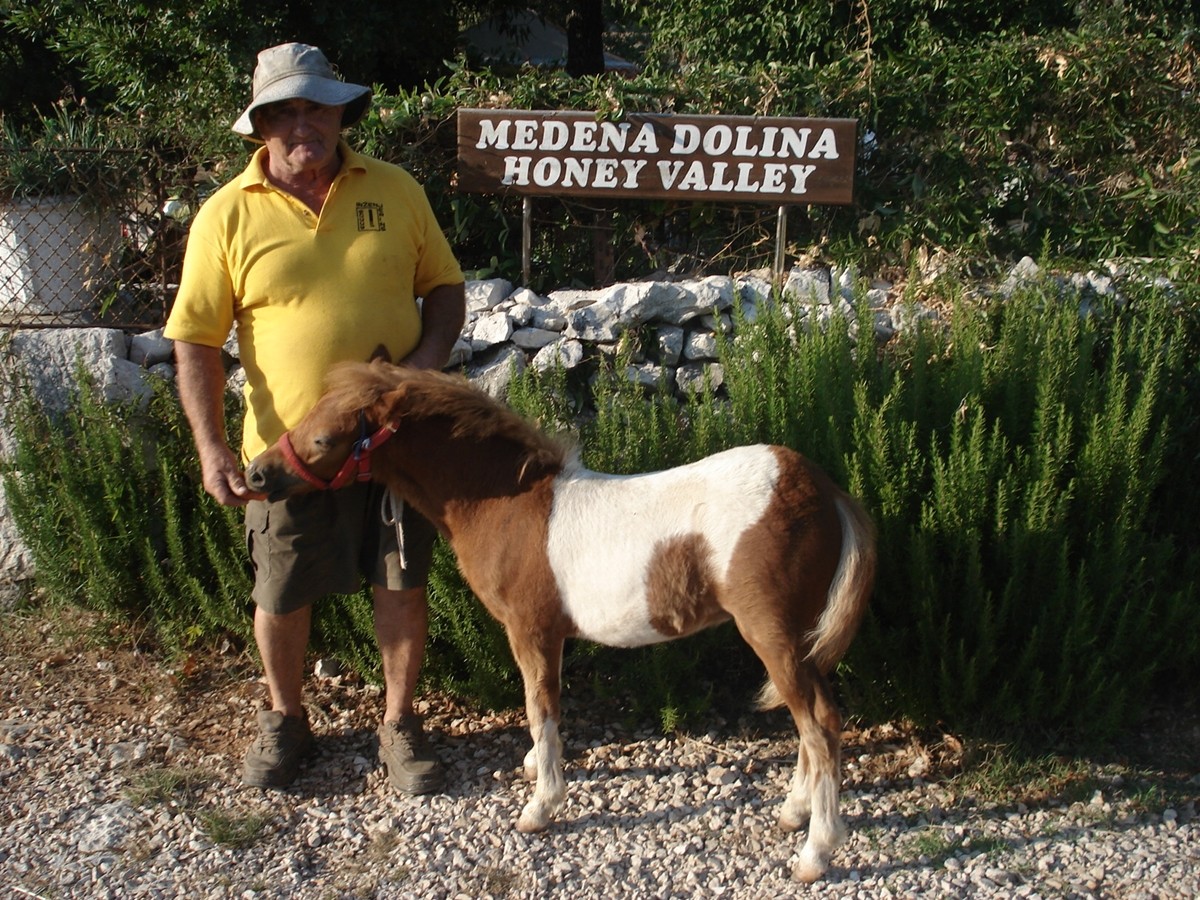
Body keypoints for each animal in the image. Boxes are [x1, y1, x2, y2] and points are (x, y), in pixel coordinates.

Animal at [248, 360, 878, 883]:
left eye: (324, 439)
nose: (256, 474)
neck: (505, 505)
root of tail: (825, 489)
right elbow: (541, 708)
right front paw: (532, 768)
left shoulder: (531, 629)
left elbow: (539, 706)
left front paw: (540, 807)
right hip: (799, 640)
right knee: (813, 719)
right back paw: (794, 812)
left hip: (771, 633)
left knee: (820, 722)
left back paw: (816, 852)